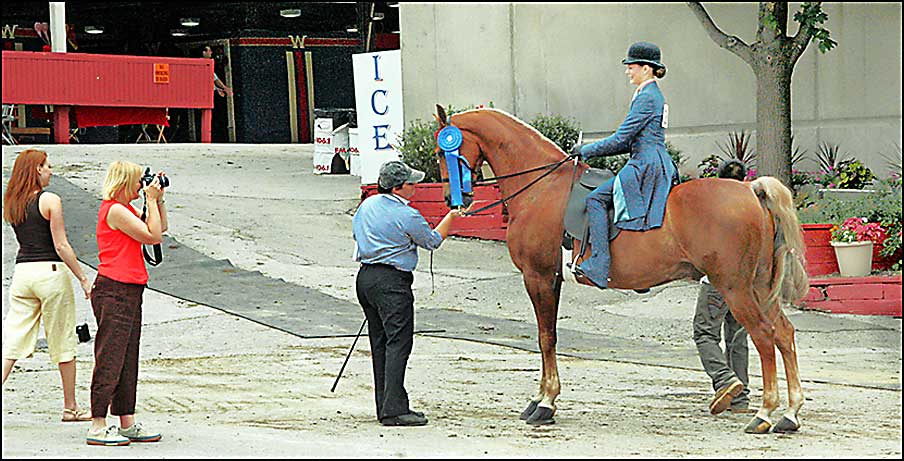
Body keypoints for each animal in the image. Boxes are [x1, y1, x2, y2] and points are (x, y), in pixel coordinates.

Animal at [434, 104, 808, 432]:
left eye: (442, 151)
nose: (453, 200)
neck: (543, 188)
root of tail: (751, 190)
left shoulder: (537, 276)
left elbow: (545, 338)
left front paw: (545, 404)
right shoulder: (551, 279)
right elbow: (548, 336)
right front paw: (542, 399)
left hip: (735, 288)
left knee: (764, 337)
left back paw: (764, 414)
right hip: (758, 287)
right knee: (784, 334)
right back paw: (789, 415)